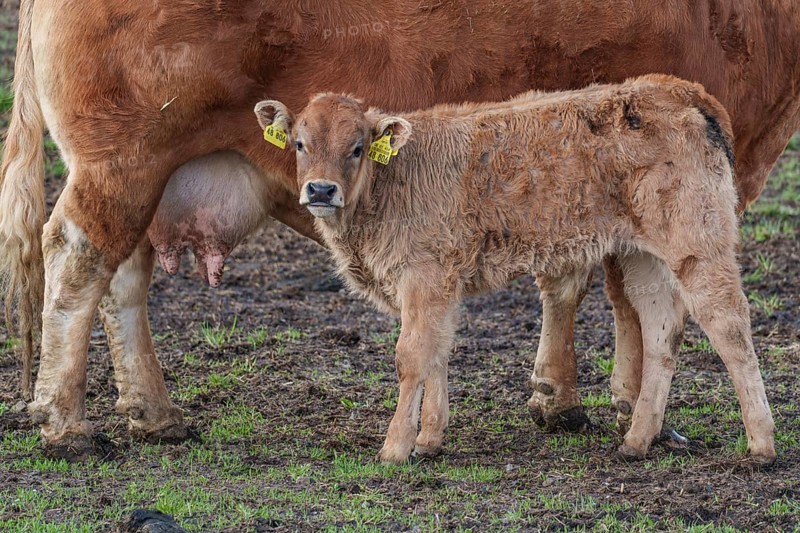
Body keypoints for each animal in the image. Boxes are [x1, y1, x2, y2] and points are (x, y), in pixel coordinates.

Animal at [253, 77, 777, 464]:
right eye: (299, 143)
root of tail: (680, 90)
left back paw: (761, 445)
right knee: (661, 331)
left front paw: (395, 447)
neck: (395, 178)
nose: (321, 190)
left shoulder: (423, 277)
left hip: (698, 241)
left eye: (358, 147)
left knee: (729, 325)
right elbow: (438, 351)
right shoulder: (440, 285)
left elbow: (411, 356)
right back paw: (636, 441)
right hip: (641, 256)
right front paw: (429, 440)